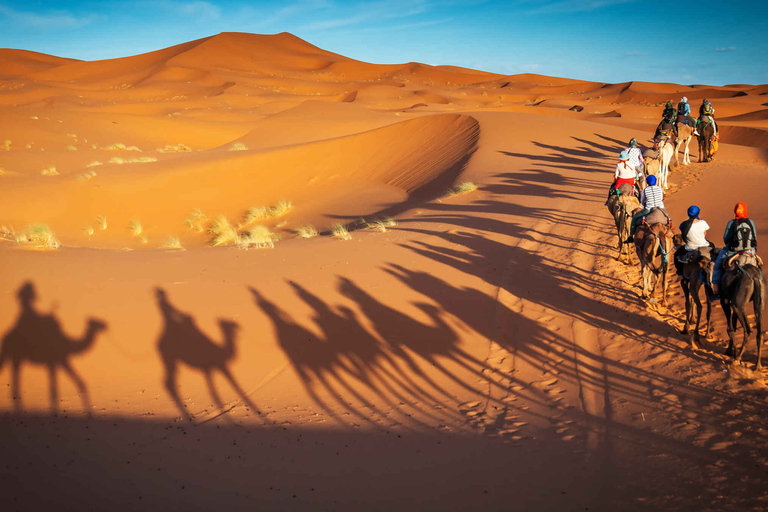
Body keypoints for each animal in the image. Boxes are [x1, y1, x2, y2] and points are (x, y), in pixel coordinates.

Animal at [0, 282, 108, 414]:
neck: (67, 342)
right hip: (16, 355)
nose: (106, 325)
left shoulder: (57, 362)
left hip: (16, 356)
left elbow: (72, 384)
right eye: (96, 321)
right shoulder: (58, 360)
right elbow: (56, 389)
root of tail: (6, 336)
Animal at [154, 288, 260, 420]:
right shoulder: (216, 367)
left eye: (233, 325)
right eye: (230, 325)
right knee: (168, 382)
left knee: (168, 382)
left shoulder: (209, 370)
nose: (240, 330)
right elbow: (221, 392)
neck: (222, 351)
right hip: (169, 357)